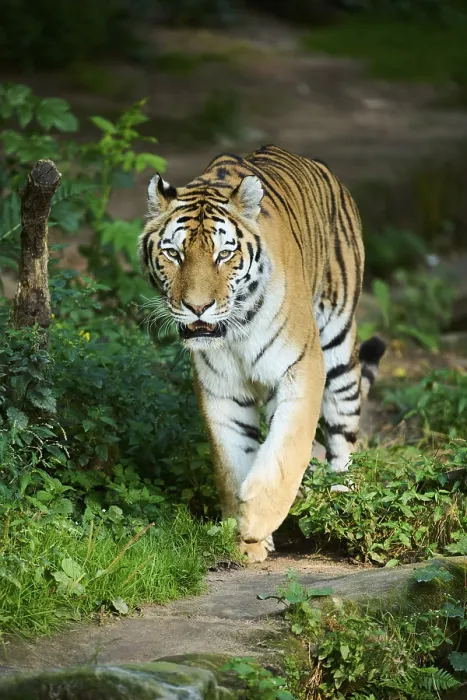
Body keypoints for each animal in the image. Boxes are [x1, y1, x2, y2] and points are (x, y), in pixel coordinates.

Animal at [138, 144, 386, 563]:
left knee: (342, 437)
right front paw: (245, 539)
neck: (235, 329)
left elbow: (286, 450)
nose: (197, 307)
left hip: (338, 345)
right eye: (173, 253)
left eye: (224, 254)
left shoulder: (301, 368)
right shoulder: (220, 388)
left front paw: (258, 518)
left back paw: (341, 500)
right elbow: (232, 461)